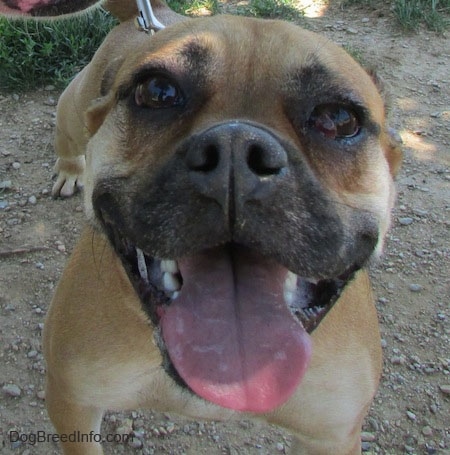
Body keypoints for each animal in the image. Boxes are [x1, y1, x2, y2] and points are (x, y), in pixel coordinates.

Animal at [9, 0, 400, 455]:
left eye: (338, 118)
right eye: (157, 92)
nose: (235, 151)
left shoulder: (332, 435)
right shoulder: (73, 402)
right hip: (73, 110)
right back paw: (70, 169)